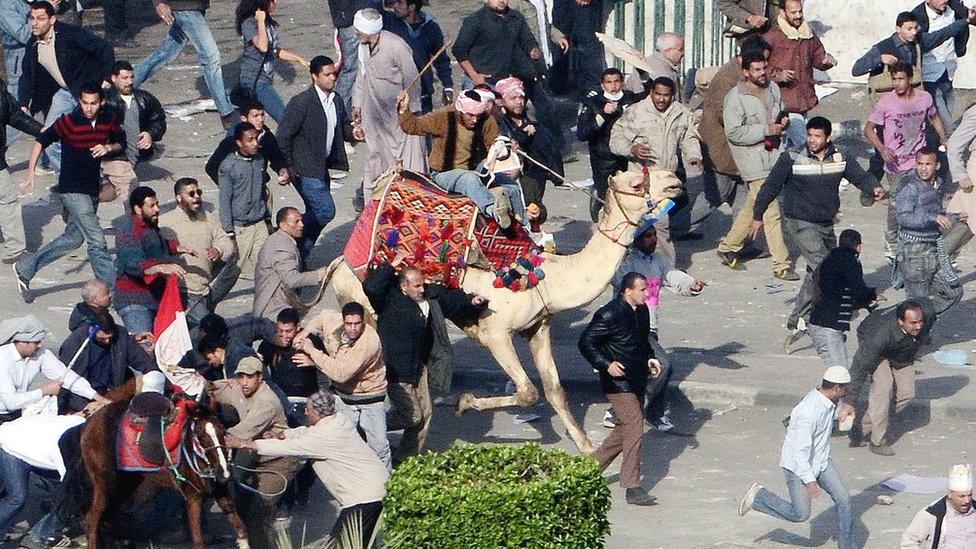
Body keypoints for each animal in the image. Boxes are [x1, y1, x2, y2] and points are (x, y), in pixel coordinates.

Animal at [80, 382, 250, 548]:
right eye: (201, 436)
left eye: (222, 431)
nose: (224, 471)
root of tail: (89, 424)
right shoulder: (193, 496)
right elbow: (198, 541)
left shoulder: (220, 491)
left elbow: (241, 529)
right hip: (106, 483)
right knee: (92, 520)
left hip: (126, 483)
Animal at [326, 169, 680, 452]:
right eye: (637, 183)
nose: (675, 181)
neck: (545, 277)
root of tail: (340, 261)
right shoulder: (495, 333)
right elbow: (528, 392)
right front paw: (466, 402)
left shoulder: (539, 326)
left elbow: (554, 390)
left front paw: (588, 447)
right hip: (364, 303)